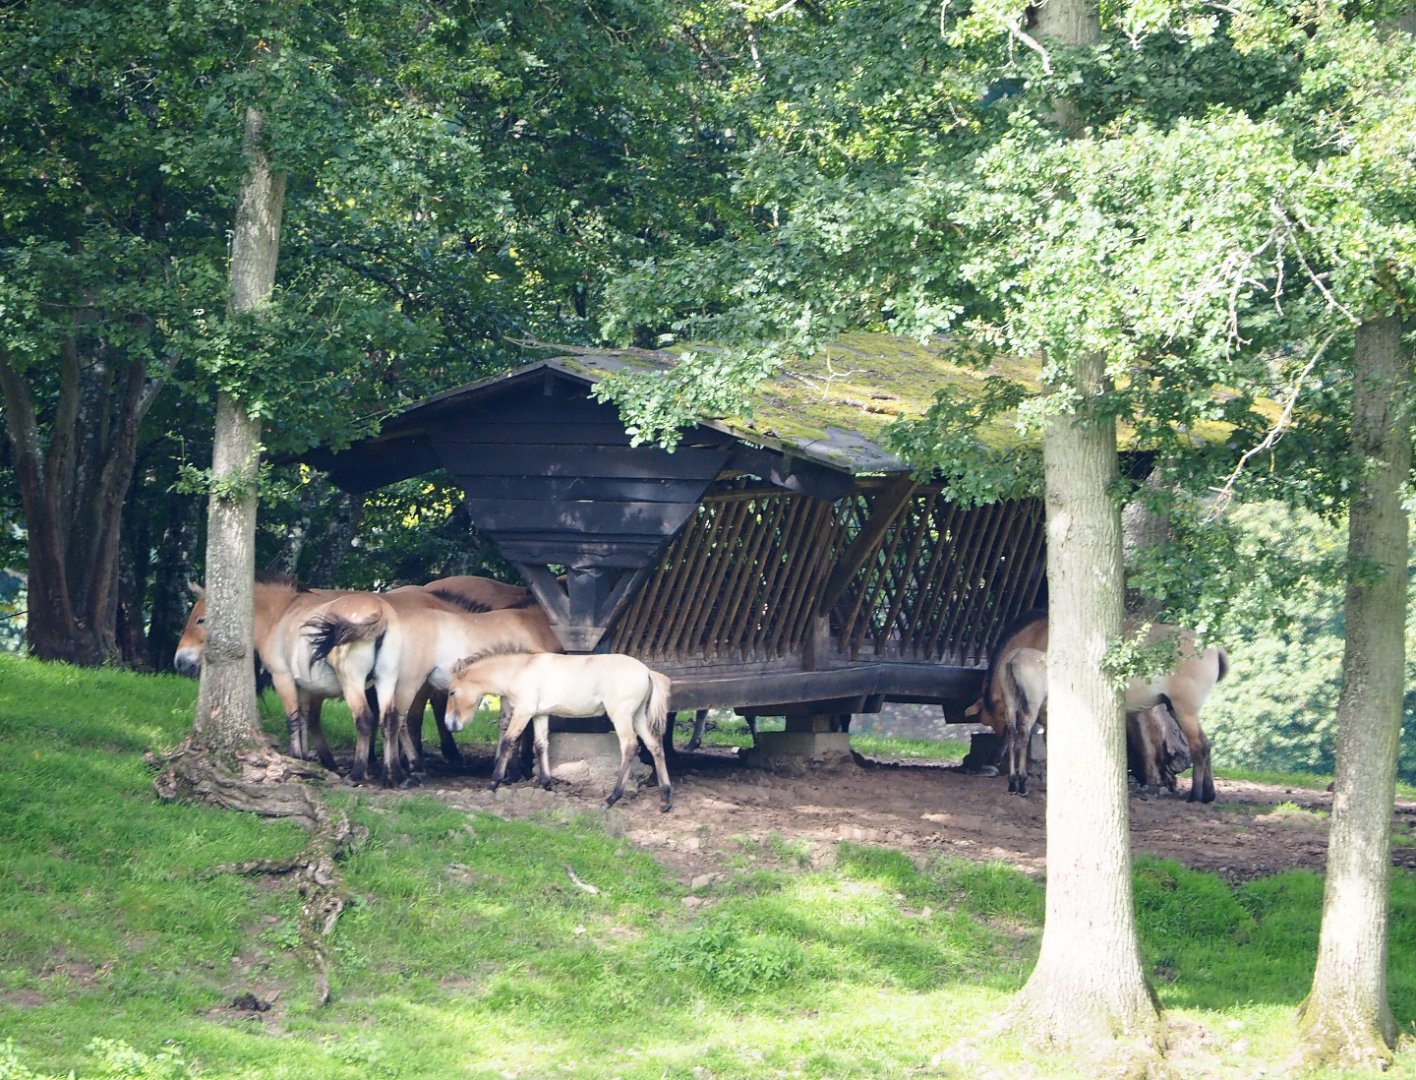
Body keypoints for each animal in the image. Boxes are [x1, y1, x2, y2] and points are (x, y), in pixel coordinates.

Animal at [174, 576, 405, 786]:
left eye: (201, 619)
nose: (180, 662)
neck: (278, 615)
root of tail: (379, 609)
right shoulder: (302, 686)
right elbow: (302, 719)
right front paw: (304, 759)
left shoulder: (282, 677)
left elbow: (291, 719)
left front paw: (295, 757)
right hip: (386, 680)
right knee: (390, 721)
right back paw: (392, 776)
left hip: (353, 683)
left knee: (364, 720)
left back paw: (356, 775)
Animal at [444, 649, 674, 813]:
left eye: (452, 692)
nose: (449, 724)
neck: (519, 670)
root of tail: (647, 671)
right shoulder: (540, 715)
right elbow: (540, 745)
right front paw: (547, 784)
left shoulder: (524, 712)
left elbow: (508, 741)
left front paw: (494, 782)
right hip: (637, 717)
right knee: (654, 746)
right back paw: (665, 800)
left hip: (621, 716)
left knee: (630, 747)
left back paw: (611, 799)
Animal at [965, 612, 1228, 802]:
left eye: (993, 716)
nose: (991, 762)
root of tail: (1214, 648)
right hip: (1178, 708)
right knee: (1206, 744)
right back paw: (1208, 794)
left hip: (1185, 709)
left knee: (1199, 746)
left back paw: (1196, 795)